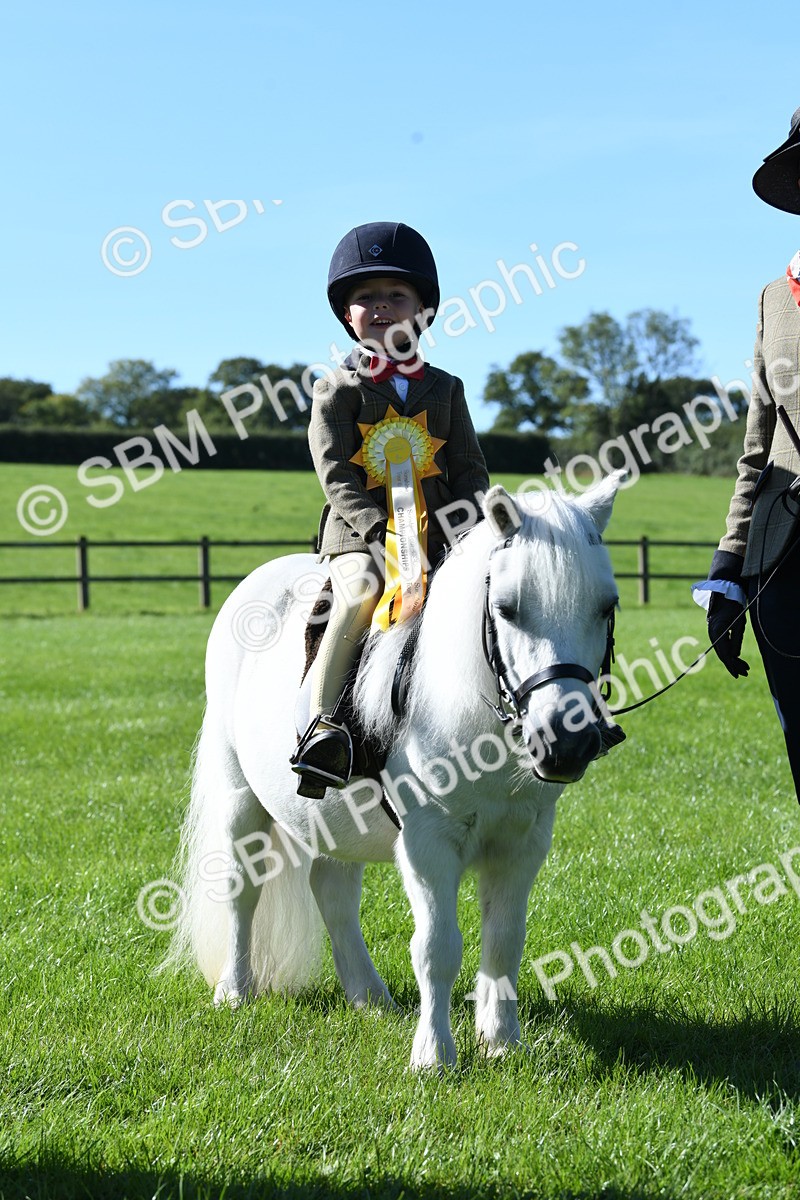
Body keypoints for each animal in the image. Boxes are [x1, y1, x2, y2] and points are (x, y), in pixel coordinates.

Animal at [169, 470, 626, 1070]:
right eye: (507, 608)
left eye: (606, 606)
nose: (566, 743)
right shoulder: (428, 841)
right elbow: (437, 947)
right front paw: (434, 1055)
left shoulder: (522, 842)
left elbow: (505, 939)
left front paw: (502, 1041)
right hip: (239, 795)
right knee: (242, 888)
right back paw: (235, 990)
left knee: (332, 890)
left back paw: (369, 996)